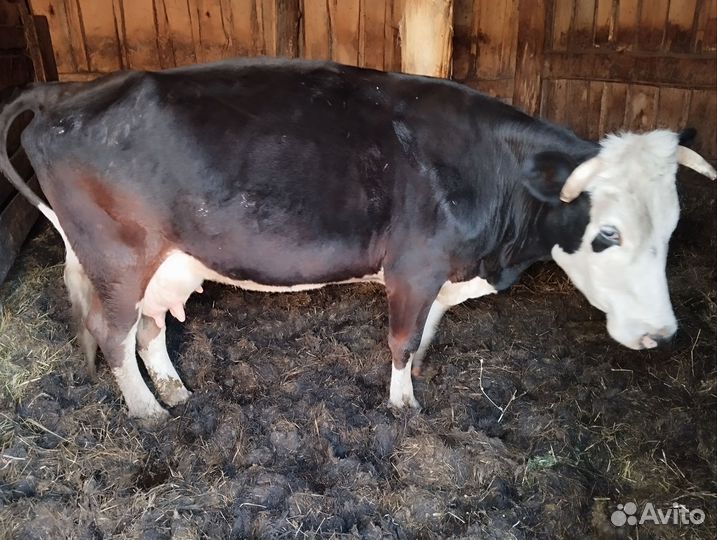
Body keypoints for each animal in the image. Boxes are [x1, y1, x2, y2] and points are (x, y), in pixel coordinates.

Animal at [0, 58, 714, 422]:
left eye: (673, 228)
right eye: (606, 234)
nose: (660, 334)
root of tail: (66, 90)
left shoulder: (441, 276)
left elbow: (424, 335)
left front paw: (419, 375)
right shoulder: (413, 267)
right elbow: (400, 338)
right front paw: (403, 406)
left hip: (166, 261)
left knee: (148, 328)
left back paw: (173, 392)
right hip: (118, 256)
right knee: (113, 330)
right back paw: (147, 412)